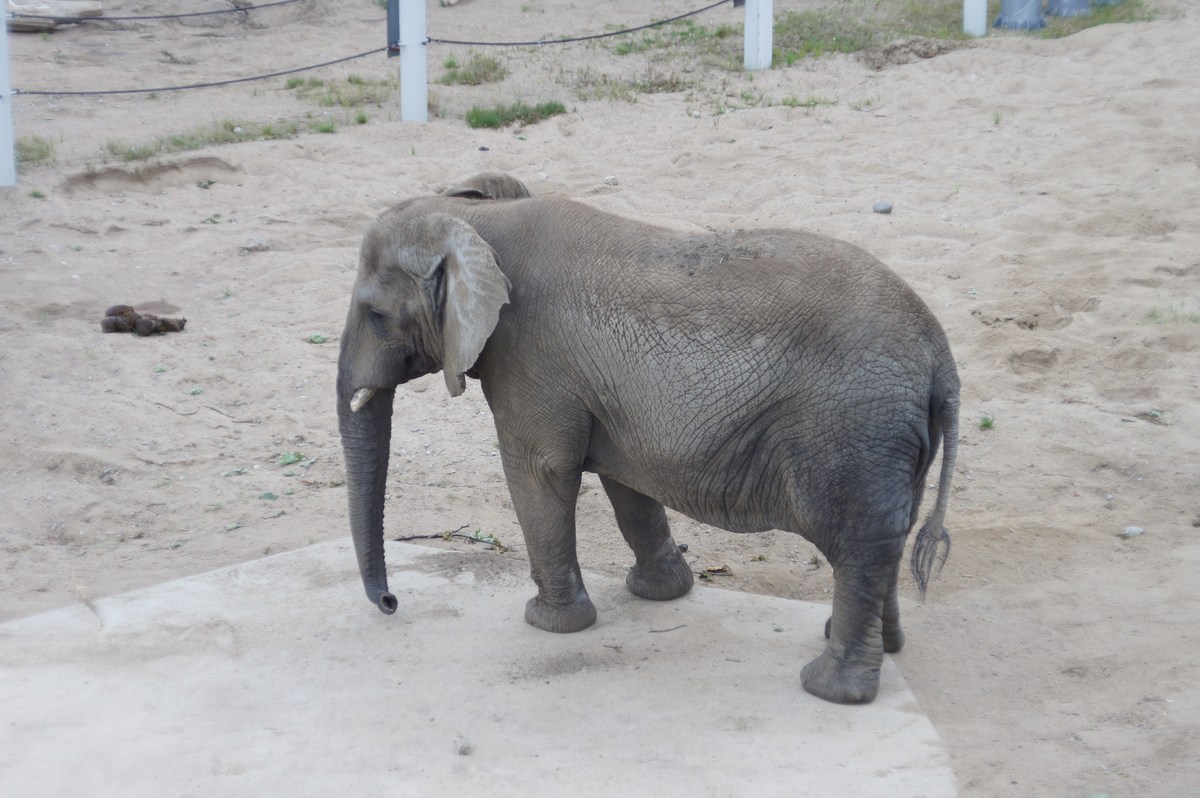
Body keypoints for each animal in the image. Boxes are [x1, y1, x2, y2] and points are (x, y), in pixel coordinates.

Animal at [336, 172, 960, 704]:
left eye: (375, 315)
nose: (391, 602)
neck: (477, 218)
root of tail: (941, 355)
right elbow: (626, 481)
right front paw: (659, 593)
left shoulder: (528, 357)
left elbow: (540, 471)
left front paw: (548, 624)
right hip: (886, 439)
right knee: (891, 534)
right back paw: (874, 646)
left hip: (853, 432)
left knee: (858, 545)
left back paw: (830, 689)